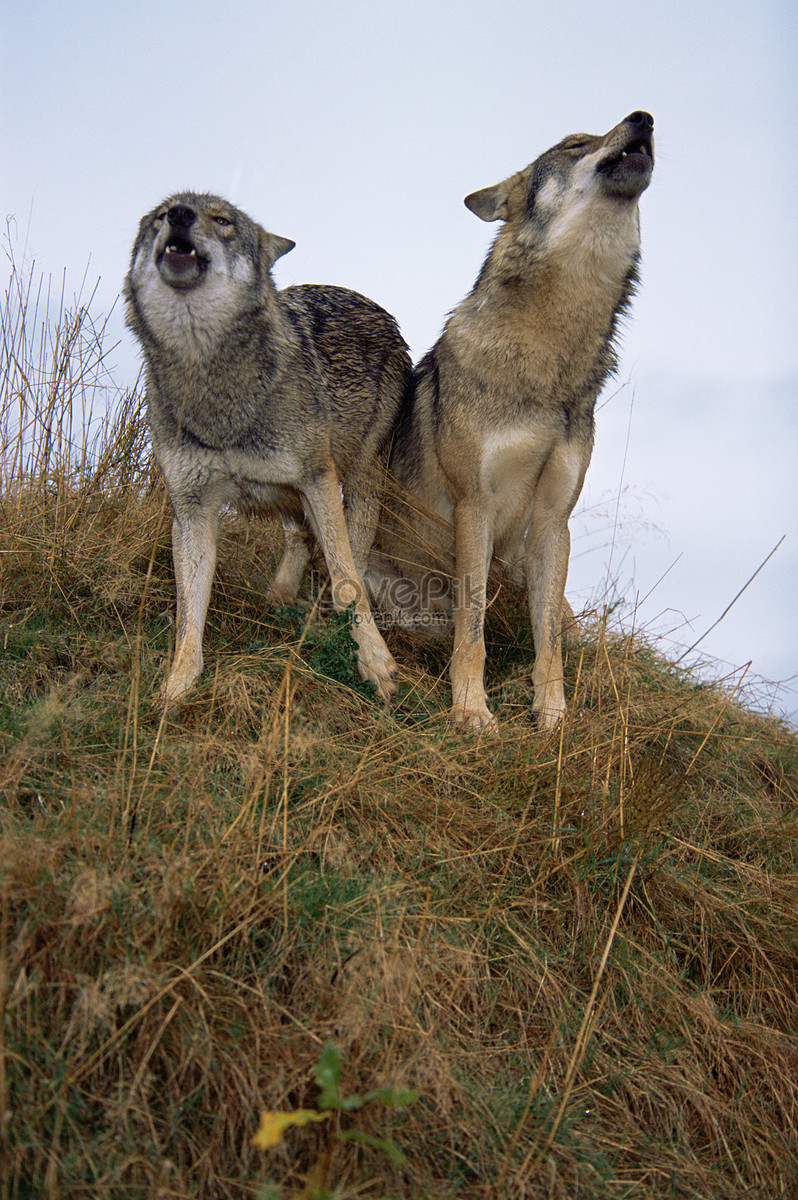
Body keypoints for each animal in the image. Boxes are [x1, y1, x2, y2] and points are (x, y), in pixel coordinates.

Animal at [126, 189, 410, 700]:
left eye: (221, 220)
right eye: (160, 216)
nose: (179, 216)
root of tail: (377, 308)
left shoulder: (318, 478)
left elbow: (347, 582)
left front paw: (376, 664)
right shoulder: (191, 508)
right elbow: (188, 610)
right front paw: (177, 686)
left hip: (358, 481)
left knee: (350, 559)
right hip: (284, 494)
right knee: (299, 536)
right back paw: (281, 596)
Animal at [369, 112, 652, 729]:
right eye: (576, 144)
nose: (643, 118)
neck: (550, 365)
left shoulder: (551, 521)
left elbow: (547, 643)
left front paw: (554, 718)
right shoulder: (474, 504)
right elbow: (472, 632)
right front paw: (471, 712)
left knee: (566, 629)